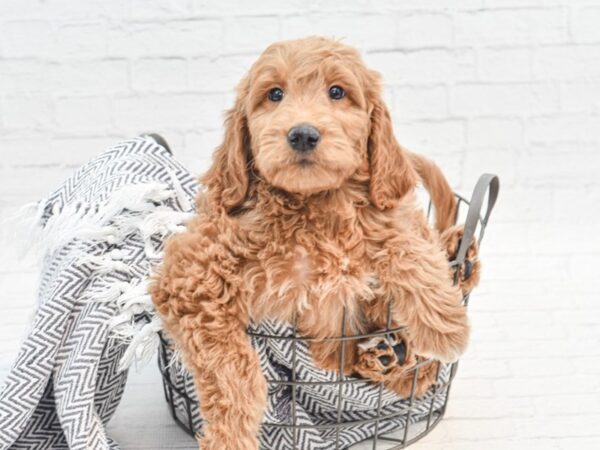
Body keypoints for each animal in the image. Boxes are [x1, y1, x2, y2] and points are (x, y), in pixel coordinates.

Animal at [154, 37, 478, 448]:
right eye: (274, 94)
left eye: (337, 92)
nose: (303, 134)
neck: (312, 205)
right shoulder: (190, 274)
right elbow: (230, 367)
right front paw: (231, 434)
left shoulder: (386, 215)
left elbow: (405, 244)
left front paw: (446, 324)